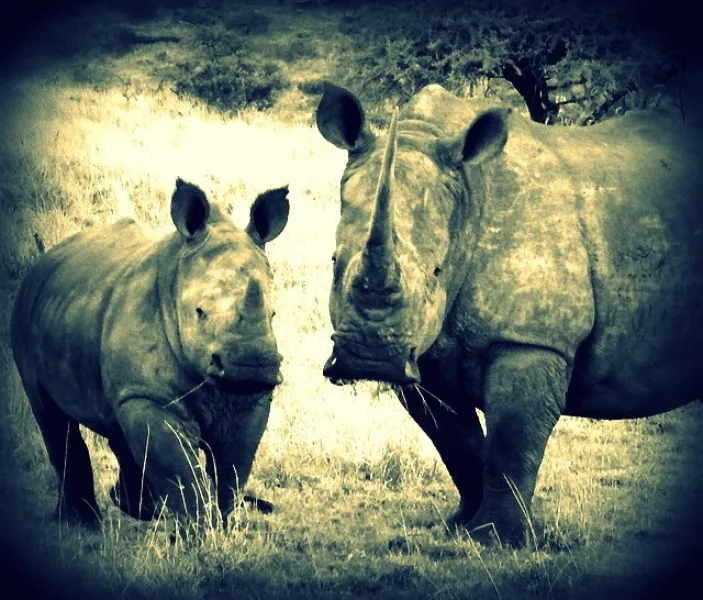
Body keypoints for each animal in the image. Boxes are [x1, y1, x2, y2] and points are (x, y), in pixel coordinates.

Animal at [11, 178, 289, 527]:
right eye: (199, 312)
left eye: (273, 315)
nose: (251, 366)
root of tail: (48, 256)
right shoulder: (149, 395)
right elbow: (179, 469)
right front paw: (200, 531)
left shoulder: (248, 397)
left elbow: (233, 467)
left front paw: (223, 525)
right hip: (24, 312)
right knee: (51, 414)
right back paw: (83, 523)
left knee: (116, 424)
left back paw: (139, 508)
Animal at [316, 83, 703, 546]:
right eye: (333, 263)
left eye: (436, 272)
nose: (370, 360)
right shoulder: (422, 352)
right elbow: (457, 443)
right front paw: (461, 527)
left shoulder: (530, 339)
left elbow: (511, 440)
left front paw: (496, 539)